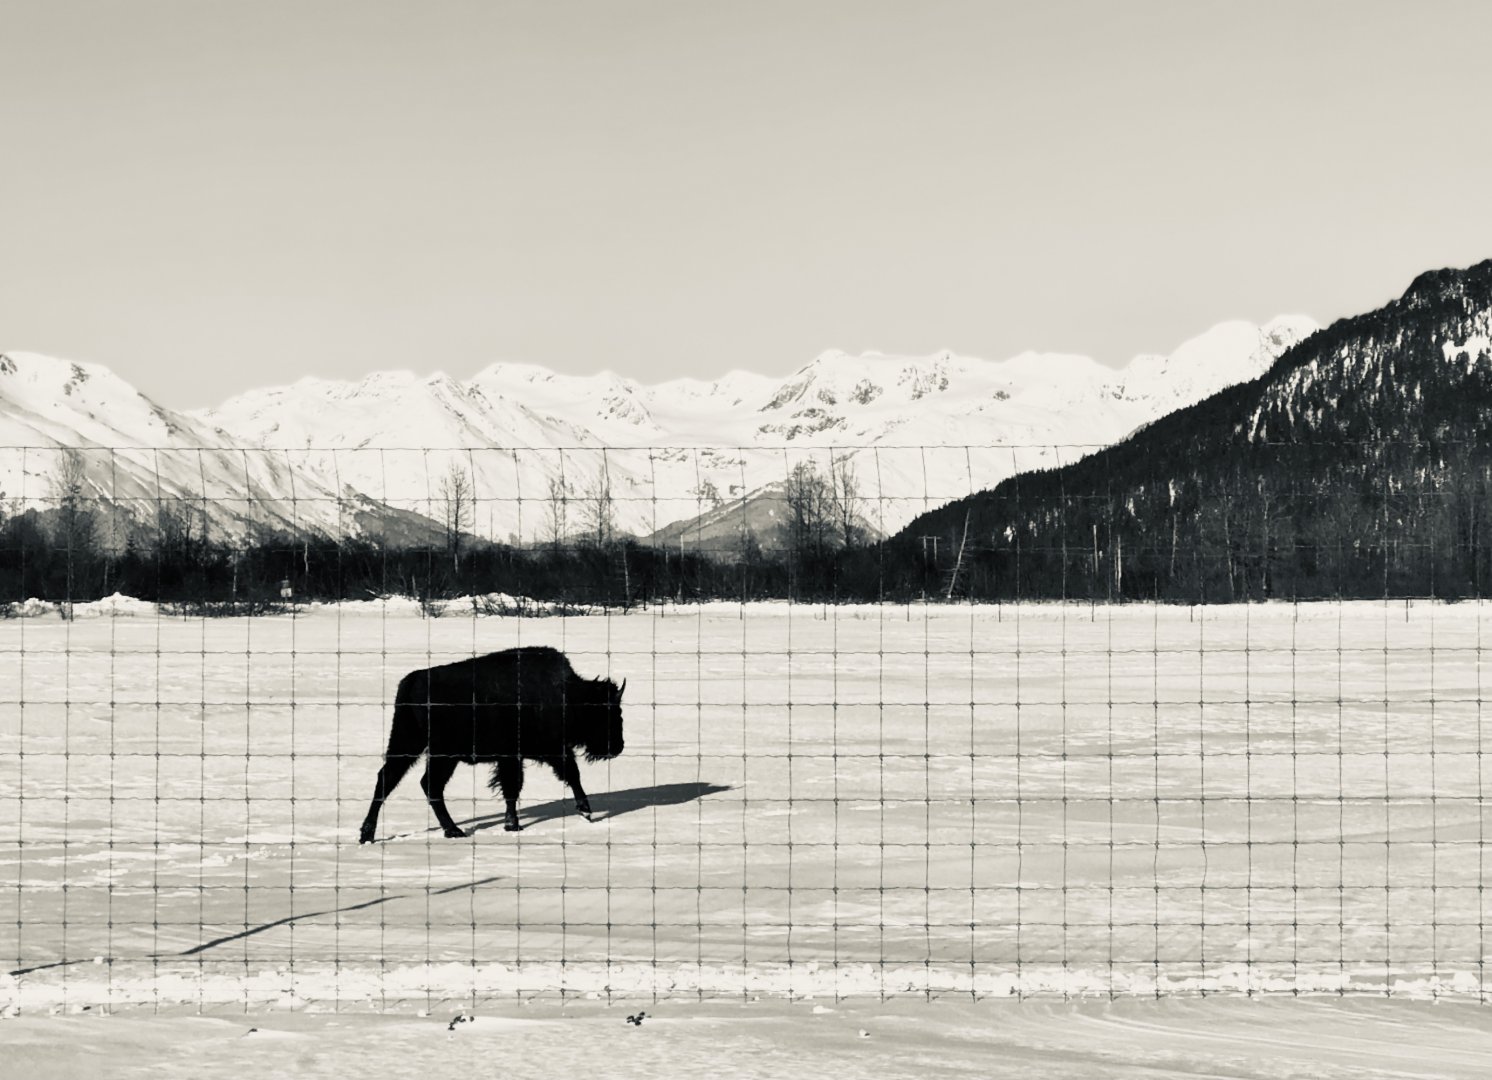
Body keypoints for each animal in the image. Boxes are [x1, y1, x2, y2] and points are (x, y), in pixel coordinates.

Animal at [358, 646, 625, 842]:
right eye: (608, 714)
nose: (618, 747)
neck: (568, 696)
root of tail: (413, 680)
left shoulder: (534, 754)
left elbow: (559, 776)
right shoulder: (528, 754)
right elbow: (524, 784)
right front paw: (583, 810)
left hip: (410, 743)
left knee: (394, 779)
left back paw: (370, 834)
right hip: (439, 753)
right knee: (424, 784)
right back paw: (452, 831)